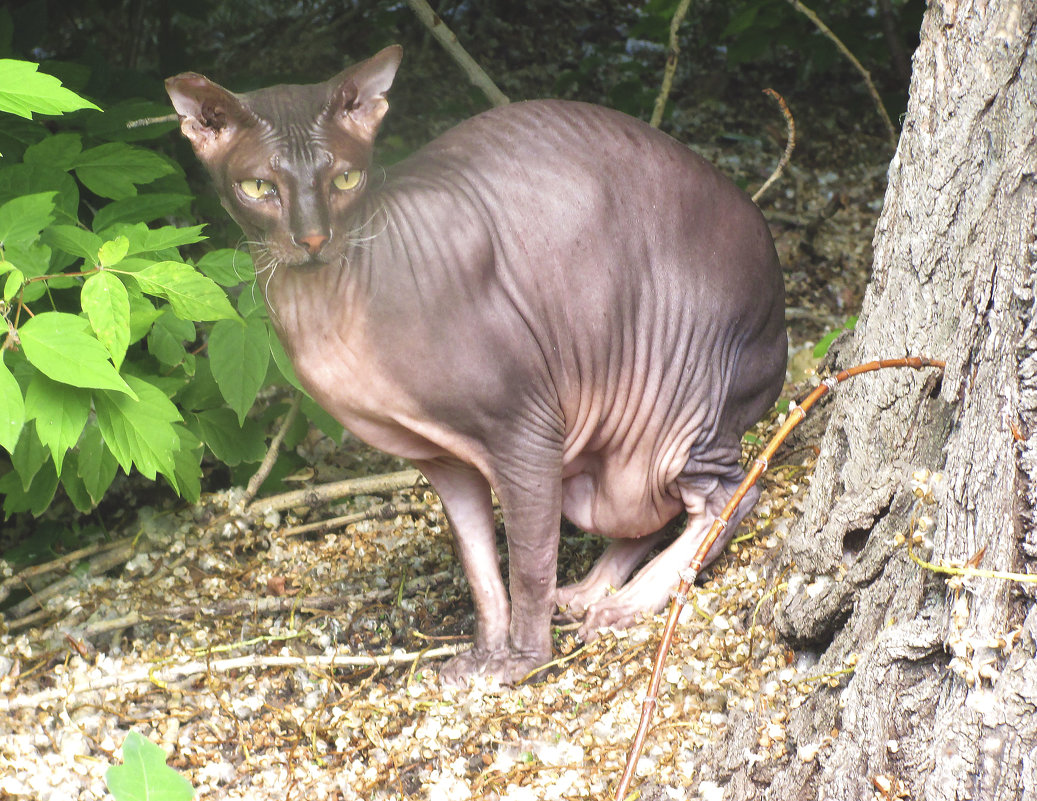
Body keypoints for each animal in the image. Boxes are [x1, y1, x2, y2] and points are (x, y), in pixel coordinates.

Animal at [167, 45, 783, 680]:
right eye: (258, 186)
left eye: (345, 178)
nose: (312, 239)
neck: (329, 315)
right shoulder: (443, 462)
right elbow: (481, 568)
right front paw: (485, 655)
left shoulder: (528, 430)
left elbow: (529, 566)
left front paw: (524, 662)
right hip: (607, 462)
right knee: (647, 513)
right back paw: (590, 593)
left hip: (686, 412)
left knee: (731, 496)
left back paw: (628, 603)